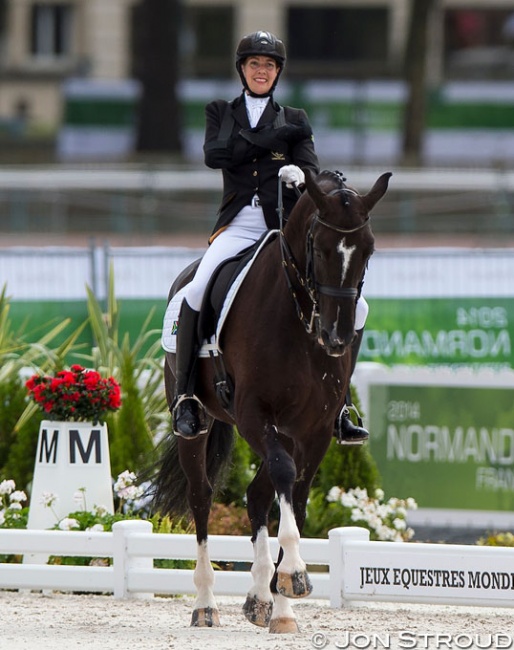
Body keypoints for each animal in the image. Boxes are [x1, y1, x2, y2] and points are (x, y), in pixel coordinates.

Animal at [152, 166, 388, 628]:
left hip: (286, 431)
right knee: (201, 495)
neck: (299, 319)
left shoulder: (314, 429)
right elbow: (283, 475)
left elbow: (296, 492)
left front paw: (285, 593)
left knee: (257, 494)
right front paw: (294, 573)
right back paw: (205, 604)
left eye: (368, 250)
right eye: (319, 247)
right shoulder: (253, 415)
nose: (337, 338)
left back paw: (262, 599)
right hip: (200, 425)